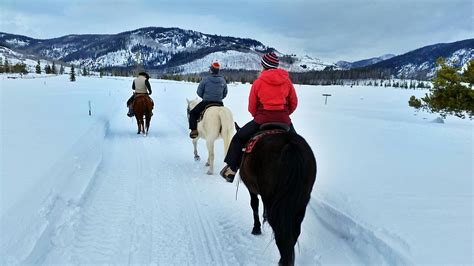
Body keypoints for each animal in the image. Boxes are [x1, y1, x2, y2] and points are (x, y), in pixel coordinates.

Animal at [239, 132, 316, 264]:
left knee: (280, 231)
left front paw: (256, 228)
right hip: (301, 202)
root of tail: (289, 145)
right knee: (294, 231)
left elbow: (254, 204)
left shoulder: (252, 189)